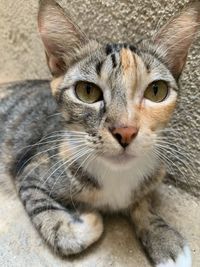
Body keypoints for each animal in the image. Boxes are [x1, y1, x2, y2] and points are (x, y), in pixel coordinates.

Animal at [0, 0, 199, 267]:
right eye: (87, 91)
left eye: (156, 91)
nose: (125, 131)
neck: (117, 176)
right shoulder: (30, 173)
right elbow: (55, 223)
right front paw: (87, 218)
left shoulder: (152, 175)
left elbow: (143, 202)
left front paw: (164, 238)